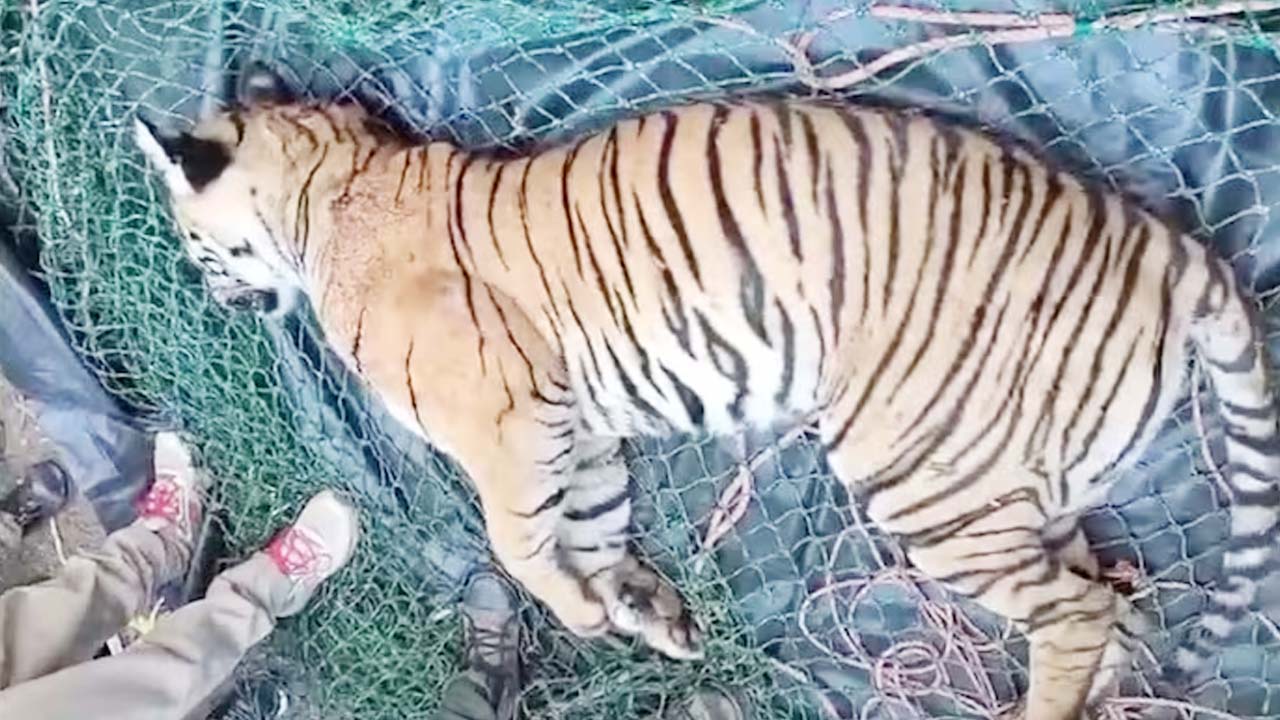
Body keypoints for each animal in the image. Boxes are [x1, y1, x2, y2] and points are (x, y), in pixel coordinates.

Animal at [133, 66, 1279, 719]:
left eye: (188, 236)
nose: (208, 291)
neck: (336, 188)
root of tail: (1170, 245)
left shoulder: (511, 417)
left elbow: (518, 537)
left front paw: (583, 612)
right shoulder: (580, 428)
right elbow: (590, 525)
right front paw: (639, 613)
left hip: (925, 473)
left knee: (1080, 614)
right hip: (1030, 487)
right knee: (1114, 603)